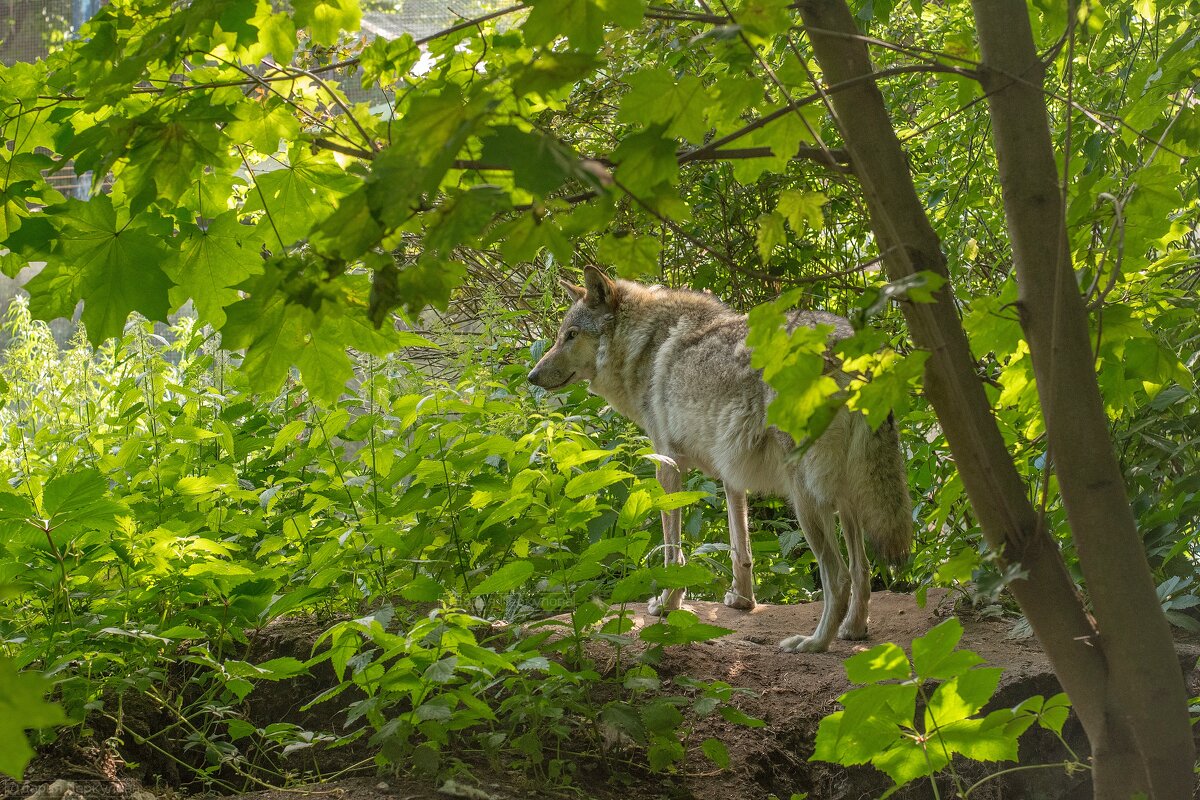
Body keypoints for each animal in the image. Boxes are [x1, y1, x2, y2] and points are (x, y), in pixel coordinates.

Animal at [530, 266, 912, 652]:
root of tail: (852, 346)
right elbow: (739, 547)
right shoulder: (731, 470)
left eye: (570, 336)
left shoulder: (667, 464)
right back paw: (854, 629)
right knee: (863, 569)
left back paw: (813, 643)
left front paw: (666, 604)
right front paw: (742, 600)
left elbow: (672, 551)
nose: (532, 375)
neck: (643, 345)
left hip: (806, 498)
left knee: (838, 576)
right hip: (846, 494)